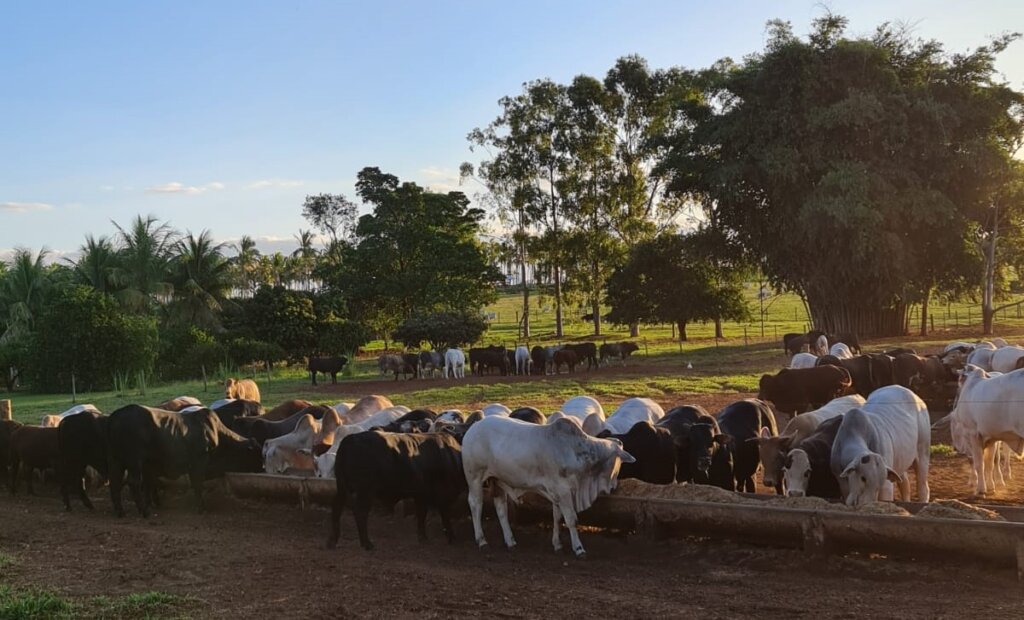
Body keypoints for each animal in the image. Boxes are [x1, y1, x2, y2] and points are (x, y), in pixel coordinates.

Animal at [104, 403, 262, 514]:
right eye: (256, 454)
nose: (262, 468)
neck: (215, 432)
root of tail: (115, 416)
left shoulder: (151, 466)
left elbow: (150, 483)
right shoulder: (198, 462)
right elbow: (197, 484)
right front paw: (201, 507)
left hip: (115, 460)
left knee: (115, 481)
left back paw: (120, 511)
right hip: (134, 461)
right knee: (133, 482)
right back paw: (143, 511)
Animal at [462, 416, 630, 557]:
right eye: (619, 463)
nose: (613, 487)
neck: (575, 450)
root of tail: (474, 427)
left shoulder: (557, 493)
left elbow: (557, 517)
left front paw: (557, 544)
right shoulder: (563, 491)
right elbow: (571, 519)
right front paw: (578, 548)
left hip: (497, 479)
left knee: (501, 508)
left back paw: (510, 541)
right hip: (475, 478)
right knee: (475, 504)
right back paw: (482, 541)